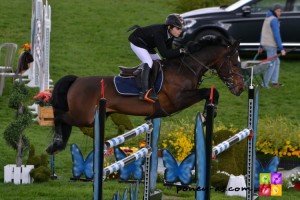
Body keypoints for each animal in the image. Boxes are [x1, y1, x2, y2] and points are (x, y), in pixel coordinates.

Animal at [45, 36, 245, 155]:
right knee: (60, 116)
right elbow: (208, 92)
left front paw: (209, 112)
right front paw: (206, 115)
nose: (241, 88)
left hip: (95, 117)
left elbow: (211, 93)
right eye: (235, 63)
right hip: (84, 116)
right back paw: (55, 143)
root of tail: (76, 81)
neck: (185, 69)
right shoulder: (178, 100)